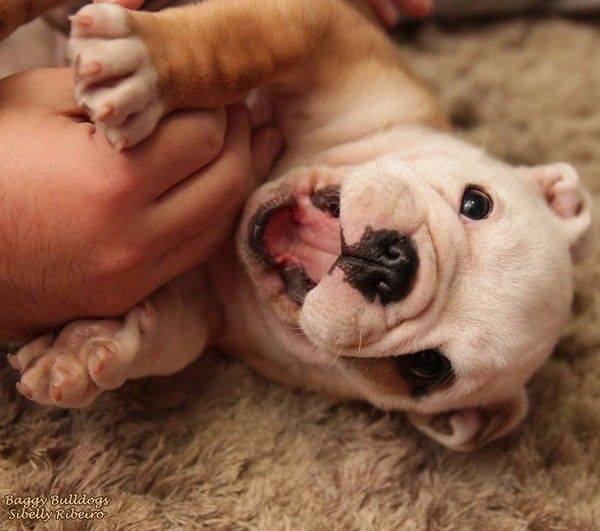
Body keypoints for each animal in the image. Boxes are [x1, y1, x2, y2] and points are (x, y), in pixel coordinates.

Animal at [3, 0, 592, 450]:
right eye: (475, 204)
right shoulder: (330, 38)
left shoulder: (203, 313)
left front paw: (85, 352)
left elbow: (168, 339)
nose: (391, 266)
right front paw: (140, 63)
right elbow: (235, 45)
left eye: (426, 368)